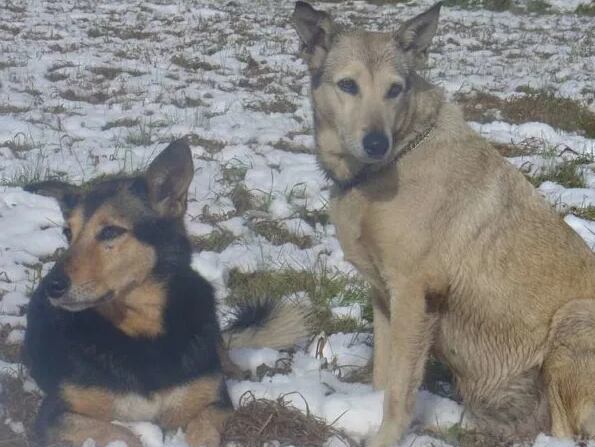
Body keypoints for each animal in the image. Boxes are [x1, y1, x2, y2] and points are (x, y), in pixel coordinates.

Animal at [23, 141, 310, 447]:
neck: (144, 334)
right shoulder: (55, 416)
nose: (52, 286)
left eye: (111, 231)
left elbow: (203, 427)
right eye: (68, 233)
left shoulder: (215, 403)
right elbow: (124, 433)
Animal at [292, 1, 595, 446]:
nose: (376, 143)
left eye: (395, 89)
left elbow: (400, 390)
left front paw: (386, 436)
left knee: (563, 432)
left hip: (574, 320)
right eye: (347, 85)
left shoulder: (414, 295)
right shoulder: (383, 296)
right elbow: (383, 376)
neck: (392, 160)